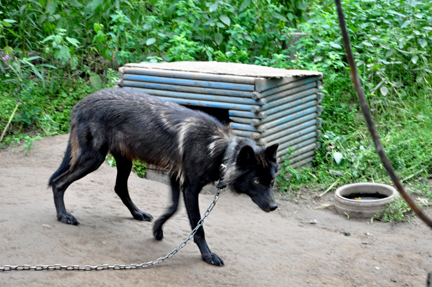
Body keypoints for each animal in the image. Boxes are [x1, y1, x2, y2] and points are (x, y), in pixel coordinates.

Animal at [49, 88, 280, 268]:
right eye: (256, 181)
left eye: (271, 182)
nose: (274, 207)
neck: (220, 151)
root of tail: (81, 104)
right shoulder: (190, 188)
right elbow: (198, 228)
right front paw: (208, 255)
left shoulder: (175, 177)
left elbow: (173, 207)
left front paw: (157, 229)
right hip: (92, 161)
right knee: (58, 183)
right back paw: (63, 216)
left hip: (124, 162)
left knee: (119, 188)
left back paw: (138, 214)